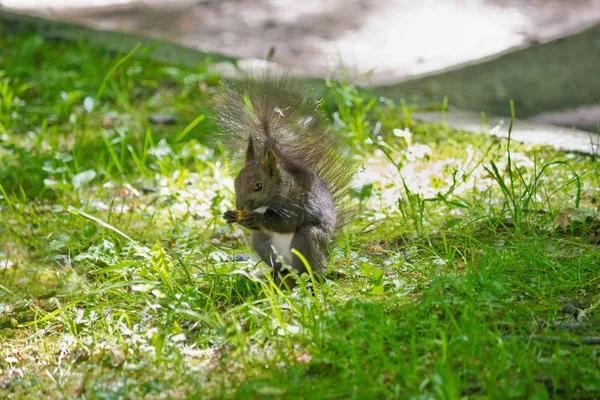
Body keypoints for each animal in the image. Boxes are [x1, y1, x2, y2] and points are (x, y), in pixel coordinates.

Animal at [217, 72, 354, 288]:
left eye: (258, 186)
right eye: (236, 182)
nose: (241, 206)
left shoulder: (297, 203)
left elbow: (287, 222)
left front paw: (257, 219)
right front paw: (229, 215)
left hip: (307, 239)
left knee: (309, 268)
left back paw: (308, 279)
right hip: (262, 242)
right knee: (278, 264)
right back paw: (275, 275)